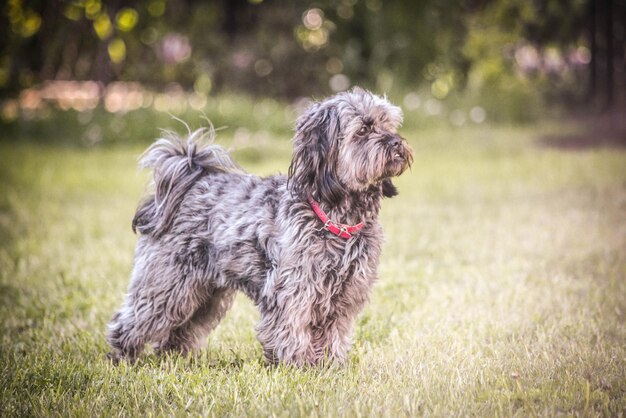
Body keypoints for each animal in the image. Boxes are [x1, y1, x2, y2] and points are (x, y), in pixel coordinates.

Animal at [105, 87, 412, 366]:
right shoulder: (293, 289)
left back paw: (176, 358)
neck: (336, 219)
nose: (397, 142)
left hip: (204, 293)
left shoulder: (345, 296)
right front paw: (297, 367)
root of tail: (188, 181)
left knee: (181, 329)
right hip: (167, 283)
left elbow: (333, 334)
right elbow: (291, 330)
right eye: (364, 129)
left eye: (389, 124)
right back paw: (122, 358)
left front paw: (331, 366)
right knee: (131, 321)